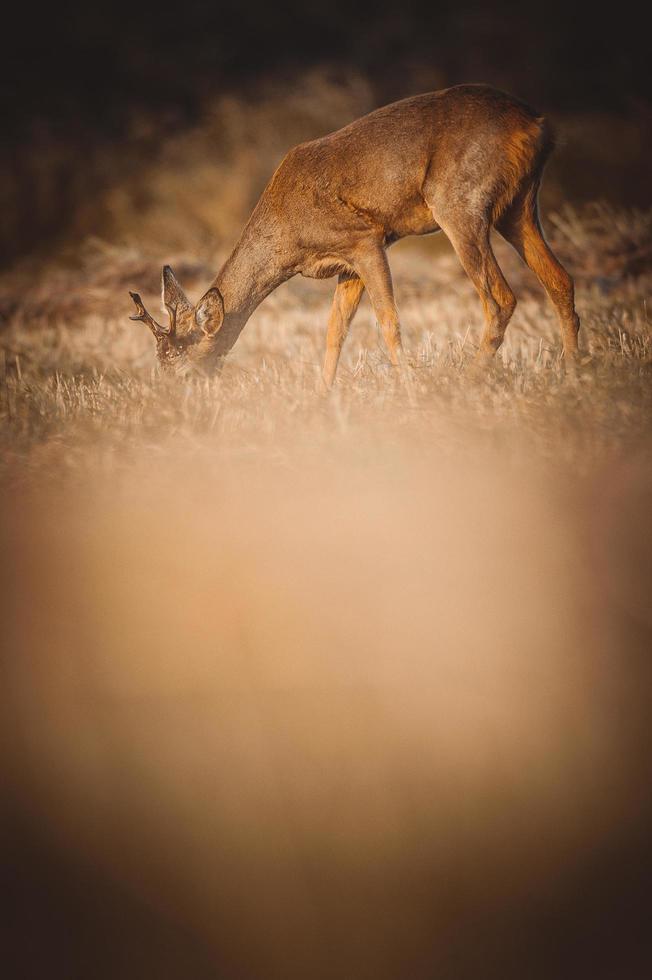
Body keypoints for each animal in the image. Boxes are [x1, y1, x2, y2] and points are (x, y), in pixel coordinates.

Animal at [129, 84, 580, 384]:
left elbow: (388, 323)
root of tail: (536, 124)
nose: (173, 407)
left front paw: (408, 390)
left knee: (501, 298)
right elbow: (334, 333)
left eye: (184, 373)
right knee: (560, 279)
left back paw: (467, 382)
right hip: (517, 206)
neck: (287, 237)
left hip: (458, 202)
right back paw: (573, 374)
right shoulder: (345, 265)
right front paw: (321, 400)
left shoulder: (366, 238)